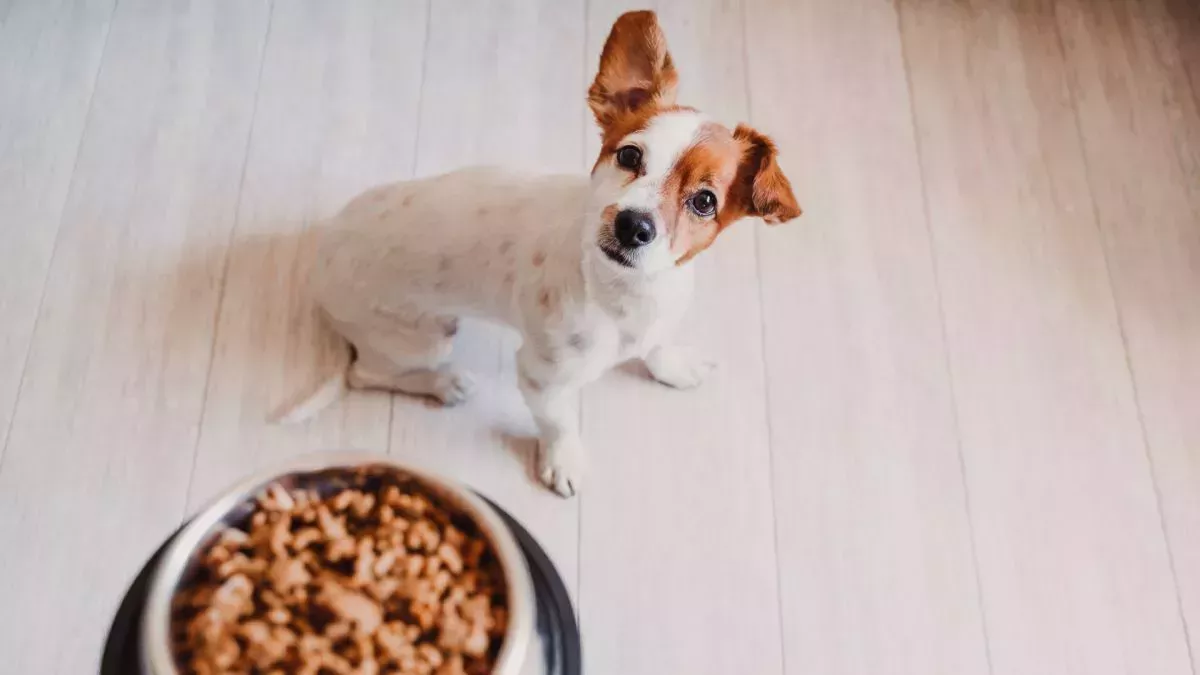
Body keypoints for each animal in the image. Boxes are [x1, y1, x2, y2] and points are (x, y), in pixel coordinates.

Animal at [279, 9, 801, 494]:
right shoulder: (541, 378)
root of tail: (323, 249)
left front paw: (672, 366)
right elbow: (559, 422)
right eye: (629, 155)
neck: (625, 296)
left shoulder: (660, 320)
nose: (633, 225)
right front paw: (563, 460)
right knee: (364, 374)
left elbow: (657, 346)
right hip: (422, 339)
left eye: (705, 201)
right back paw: (442, 383)